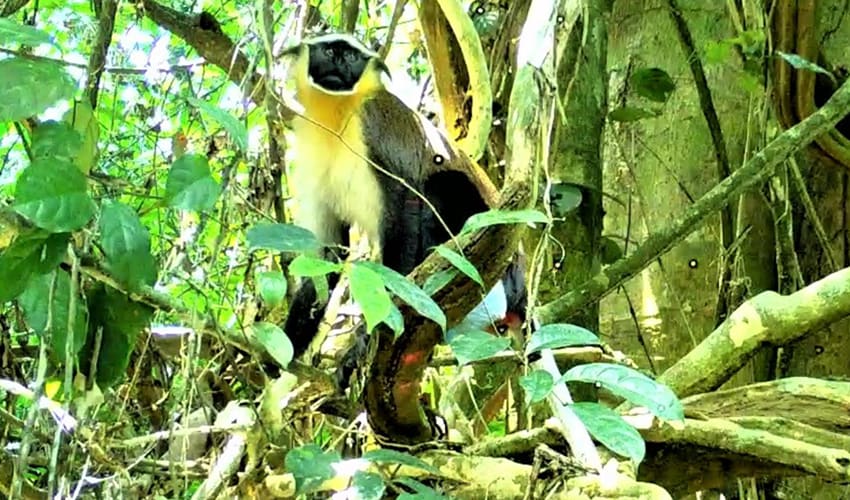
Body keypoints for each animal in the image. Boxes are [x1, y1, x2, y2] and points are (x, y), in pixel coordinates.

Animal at [280, 33, 526, 368]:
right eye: (330, 51)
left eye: (352, 56)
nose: (340, 62)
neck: (338, 112)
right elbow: (326, 255)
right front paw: (277, 353)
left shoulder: (375, 124)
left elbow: (406, 200)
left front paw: (365, 337)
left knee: (442, 183)